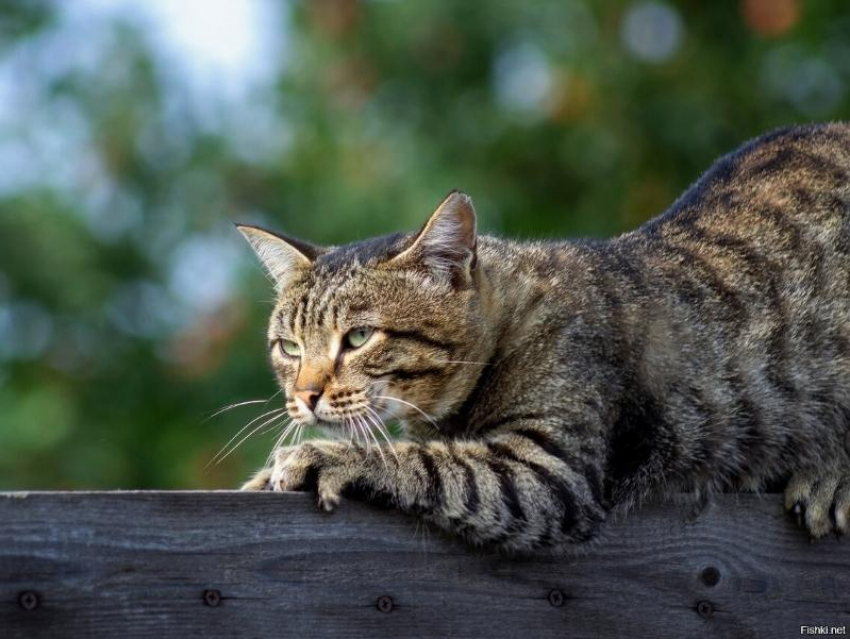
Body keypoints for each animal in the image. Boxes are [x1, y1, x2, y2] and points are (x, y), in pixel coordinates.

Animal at [237, 124, 848, 556]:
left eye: (359, 337)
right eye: (290, 348)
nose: (306, 395)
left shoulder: (551, 470)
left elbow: (431, 463)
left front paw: (322, 456)